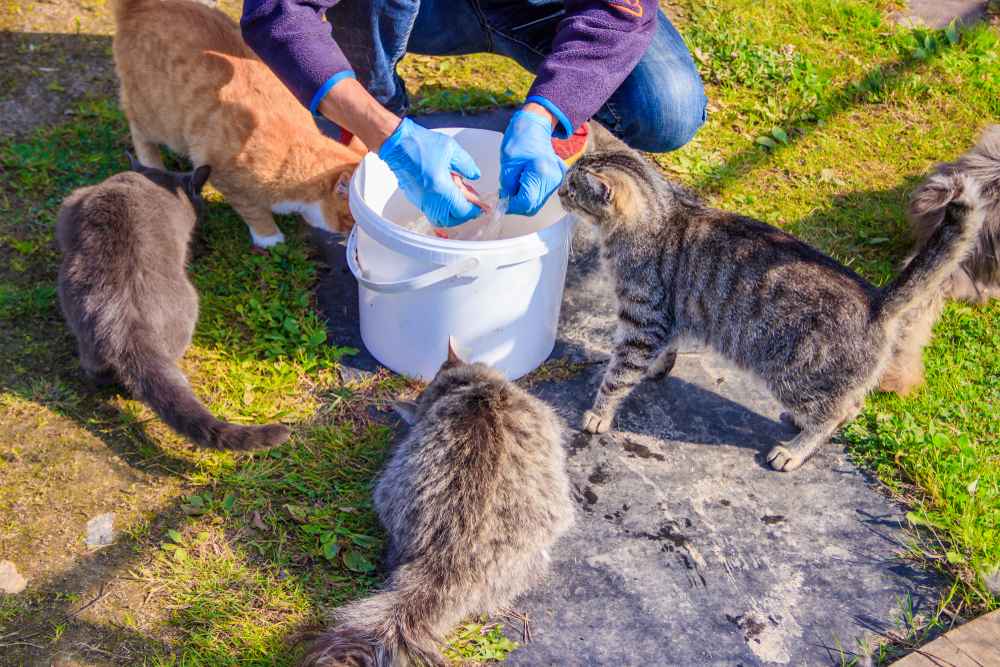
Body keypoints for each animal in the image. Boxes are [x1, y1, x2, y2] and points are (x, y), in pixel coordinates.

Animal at [113, 0, 364, 248]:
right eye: (353, 220)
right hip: (157, 117)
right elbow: (254, 211)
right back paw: (152, 163)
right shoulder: (223, 175)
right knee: (139, 132)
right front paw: (269, 237)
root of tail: (139, 4)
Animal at [560, 149, 988, 472]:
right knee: (852, 405)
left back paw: (794, 451)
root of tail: (877, 300)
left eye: (572, 188)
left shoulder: (642, 319)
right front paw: (656, 370)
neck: (659, 216)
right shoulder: (669, 318)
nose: (558, 191)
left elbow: (619, 374)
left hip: (792, 375)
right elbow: (664, 352)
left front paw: (599, 413)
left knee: (836, 412)